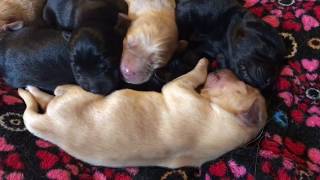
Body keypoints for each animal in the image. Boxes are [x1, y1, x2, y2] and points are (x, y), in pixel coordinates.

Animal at [17, 58, 268, 168]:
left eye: (243, 86)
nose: (226, 68)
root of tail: (48, 127)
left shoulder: (180, 88)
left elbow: (194, 74)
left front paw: (203, 63)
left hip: (74, 95)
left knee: (50, 96)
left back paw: (29, 89)